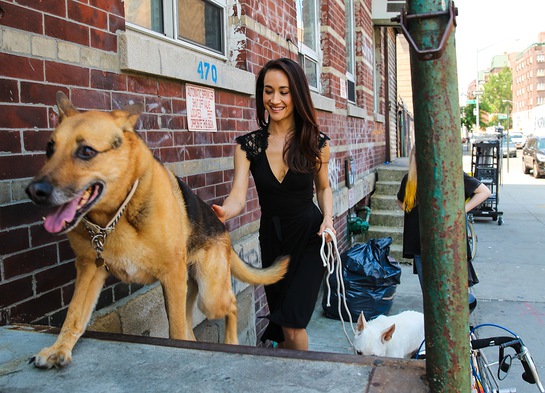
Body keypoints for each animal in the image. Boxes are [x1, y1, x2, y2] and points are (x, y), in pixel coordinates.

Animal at [24, 91, 288, 368]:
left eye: (86, 151)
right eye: (49, 149)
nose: (34, 191)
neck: (114, 217)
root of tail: (221, 227)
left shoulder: (171, 275)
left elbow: (176, 332)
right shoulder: (89, 270)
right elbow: (74, 314)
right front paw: (59, 348)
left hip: (209, 296)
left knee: (231, 304)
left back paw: (231, 342)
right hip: (189, 288)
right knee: (191, 327)